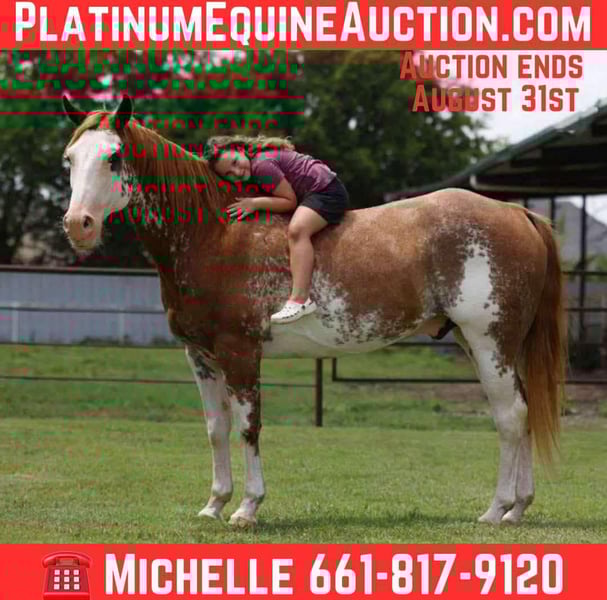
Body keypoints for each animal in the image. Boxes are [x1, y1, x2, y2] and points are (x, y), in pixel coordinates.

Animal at [61, 94, 566, 527]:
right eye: (70, 159)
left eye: (113, 158)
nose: (77, 225)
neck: (214, 233)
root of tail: (517, 213)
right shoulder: (201, 358)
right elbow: (216, 428)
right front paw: (214, 504)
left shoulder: (240, 353)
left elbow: (248, 427)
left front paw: (247, 508)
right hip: (484, 343)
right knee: (521, 411)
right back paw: (518, 508)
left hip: (489, 342)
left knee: (510, 416)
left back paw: (496, 510)